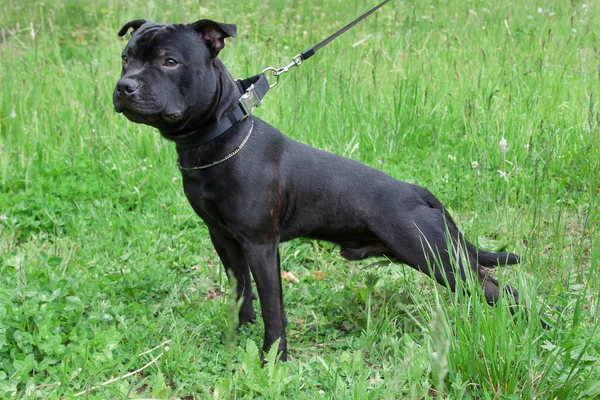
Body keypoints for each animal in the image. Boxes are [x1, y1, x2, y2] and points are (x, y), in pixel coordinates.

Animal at [113, 18, 524, 360]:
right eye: (125, 58)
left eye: (170, 61)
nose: (123, 86)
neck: (219, 138)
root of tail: (420, 193)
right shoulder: (224, 239)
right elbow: (240, 290)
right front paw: (239, 332)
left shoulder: (261, 245)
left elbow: (273, 307)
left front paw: (273, 357)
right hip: (445, 256)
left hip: (437, 256)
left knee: (502, 291)